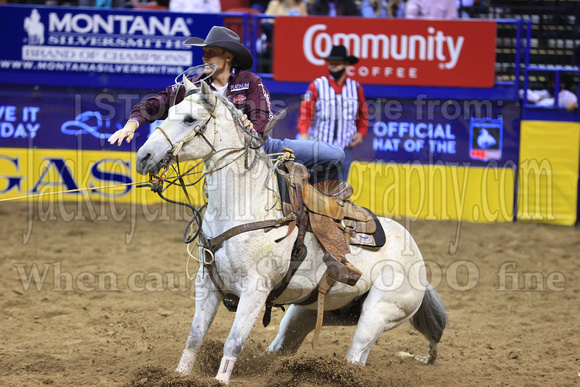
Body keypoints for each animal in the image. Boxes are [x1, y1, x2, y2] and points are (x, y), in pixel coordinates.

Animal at [136, 80, 448, 386]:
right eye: (167, 112)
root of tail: (419, 259)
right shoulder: (208, 284)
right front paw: (177, 376)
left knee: (356, 358)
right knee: (280, 348)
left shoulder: (256, 289)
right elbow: (195, 337)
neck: (246, 204)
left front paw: (221, 379)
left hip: (378, 313)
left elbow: (233, 342)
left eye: (190, 119)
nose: (143, 157)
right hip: (311, 312)